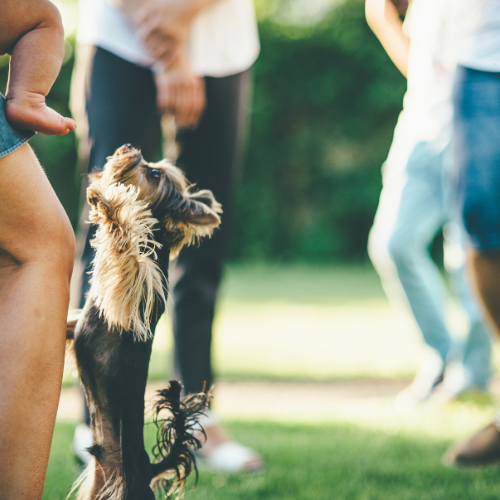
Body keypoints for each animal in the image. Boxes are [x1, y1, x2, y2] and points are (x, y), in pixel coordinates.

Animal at [66, 143, 221, 498]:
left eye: (153, 173)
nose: (129, 149)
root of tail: (148, 468)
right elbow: (74, 322)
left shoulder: (138, 282)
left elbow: (123, 239)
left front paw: (106, 203)